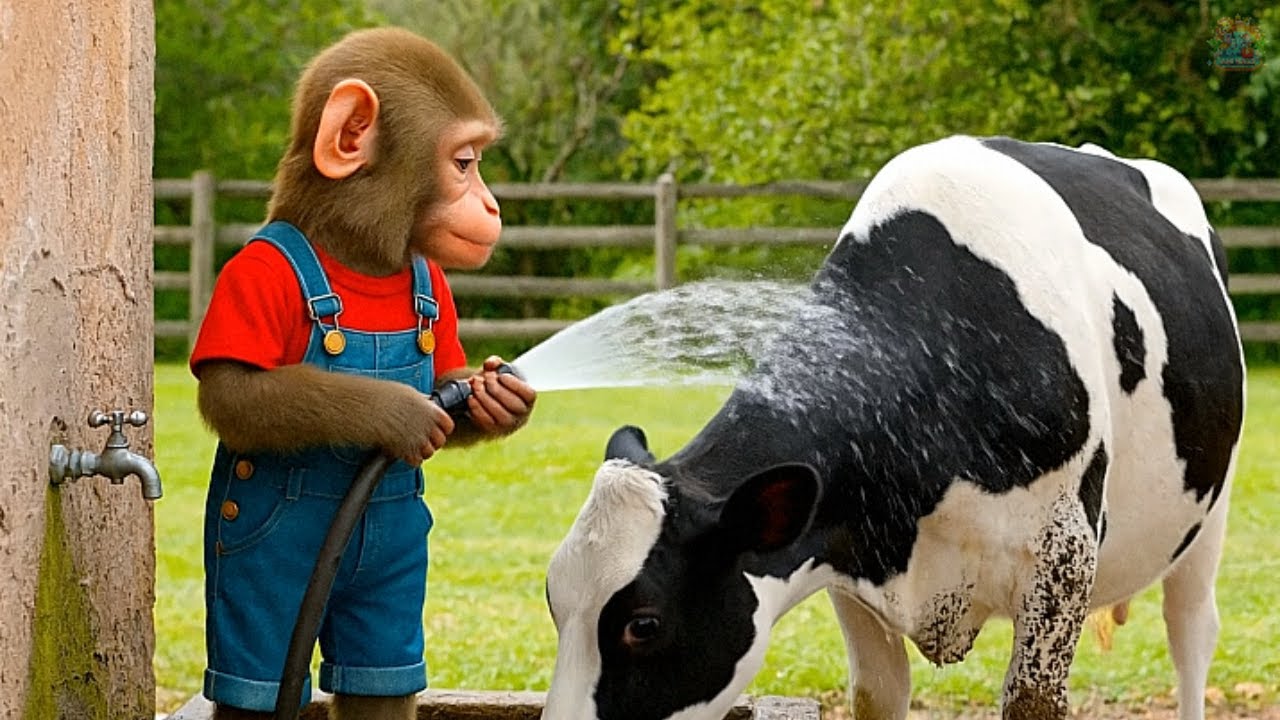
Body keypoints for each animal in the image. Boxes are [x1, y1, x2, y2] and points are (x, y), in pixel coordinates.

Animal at [189, 28, 536, 720]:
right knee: (256, 675)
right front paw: (401, 414)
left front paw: (497, 393)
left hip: (388, 580)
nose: (492, 205)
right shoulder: (252, 278)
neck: (359, 261)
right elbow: (234, 392)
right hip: (254, 556)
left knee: (380, 673)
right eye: (464, 163)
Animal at [540, 135, 1245, 720]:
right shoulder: (849, 562)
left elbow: (1032, 702)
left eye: (643, 624)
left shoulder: (1063, 561)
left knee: (1192, 634)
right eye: (553, 597)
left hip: (1209, 518)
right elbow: (878, 695)